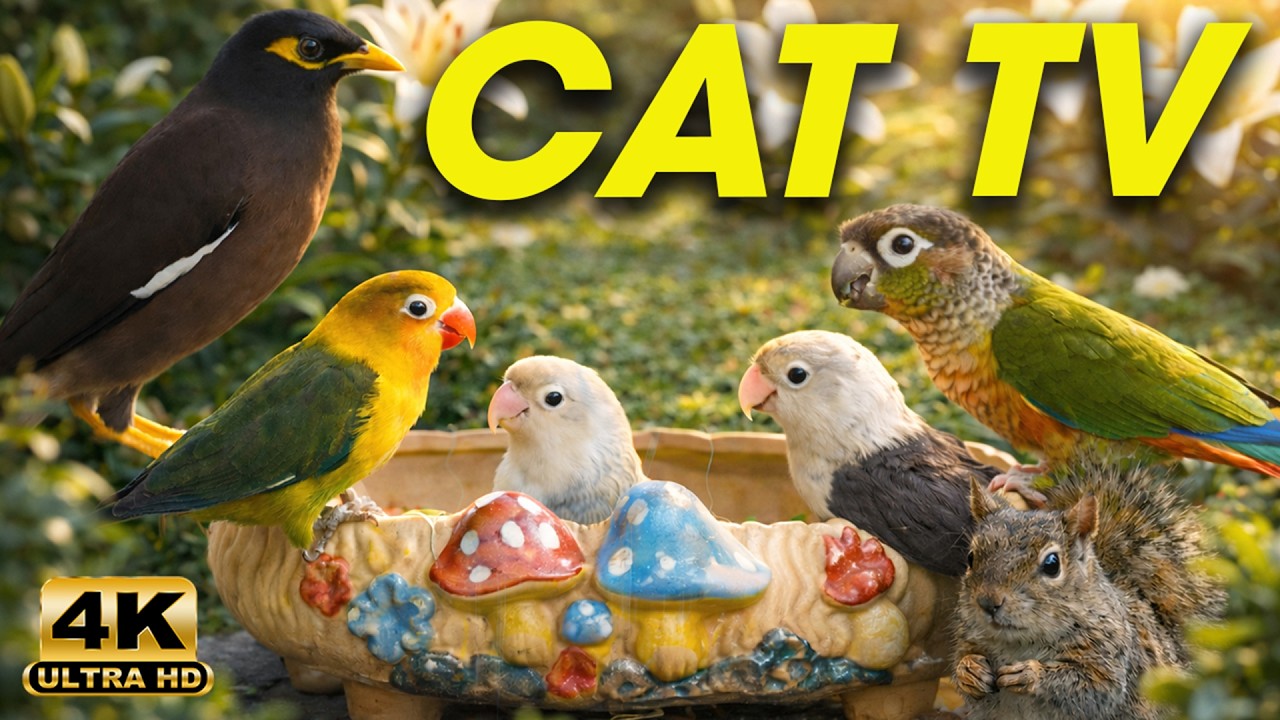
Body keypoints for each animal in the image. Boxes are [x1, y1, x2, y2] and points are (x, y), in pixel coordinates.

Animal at [952, 460, 1225, 720]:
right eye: (970, 557)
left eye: (1052, 564)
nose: (988, 602)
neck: (1018, 642)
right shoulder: (969, 638)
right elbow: (959, 665)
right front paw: (970, 671)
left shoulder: (1110, 659)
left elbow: (1092, 689)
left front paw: (1030, 674)